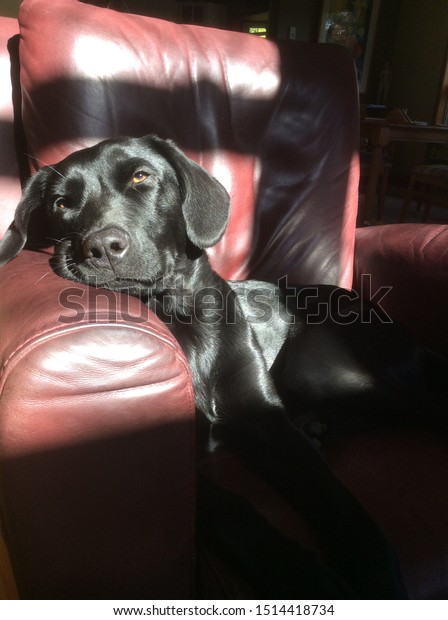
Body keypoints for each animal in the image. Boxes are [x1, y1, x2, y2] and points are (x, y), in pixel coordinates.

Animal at [0, 134, 442, 596]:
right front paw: (309, 578)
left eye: (141, 176)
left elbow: (336, 497)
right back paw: (319, 427)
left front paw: (378, 572)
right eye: (62, 203)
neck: (180, 316)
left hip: (319, 369)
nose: (102, 248)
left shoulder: (267, 419)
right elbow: (234, 508)